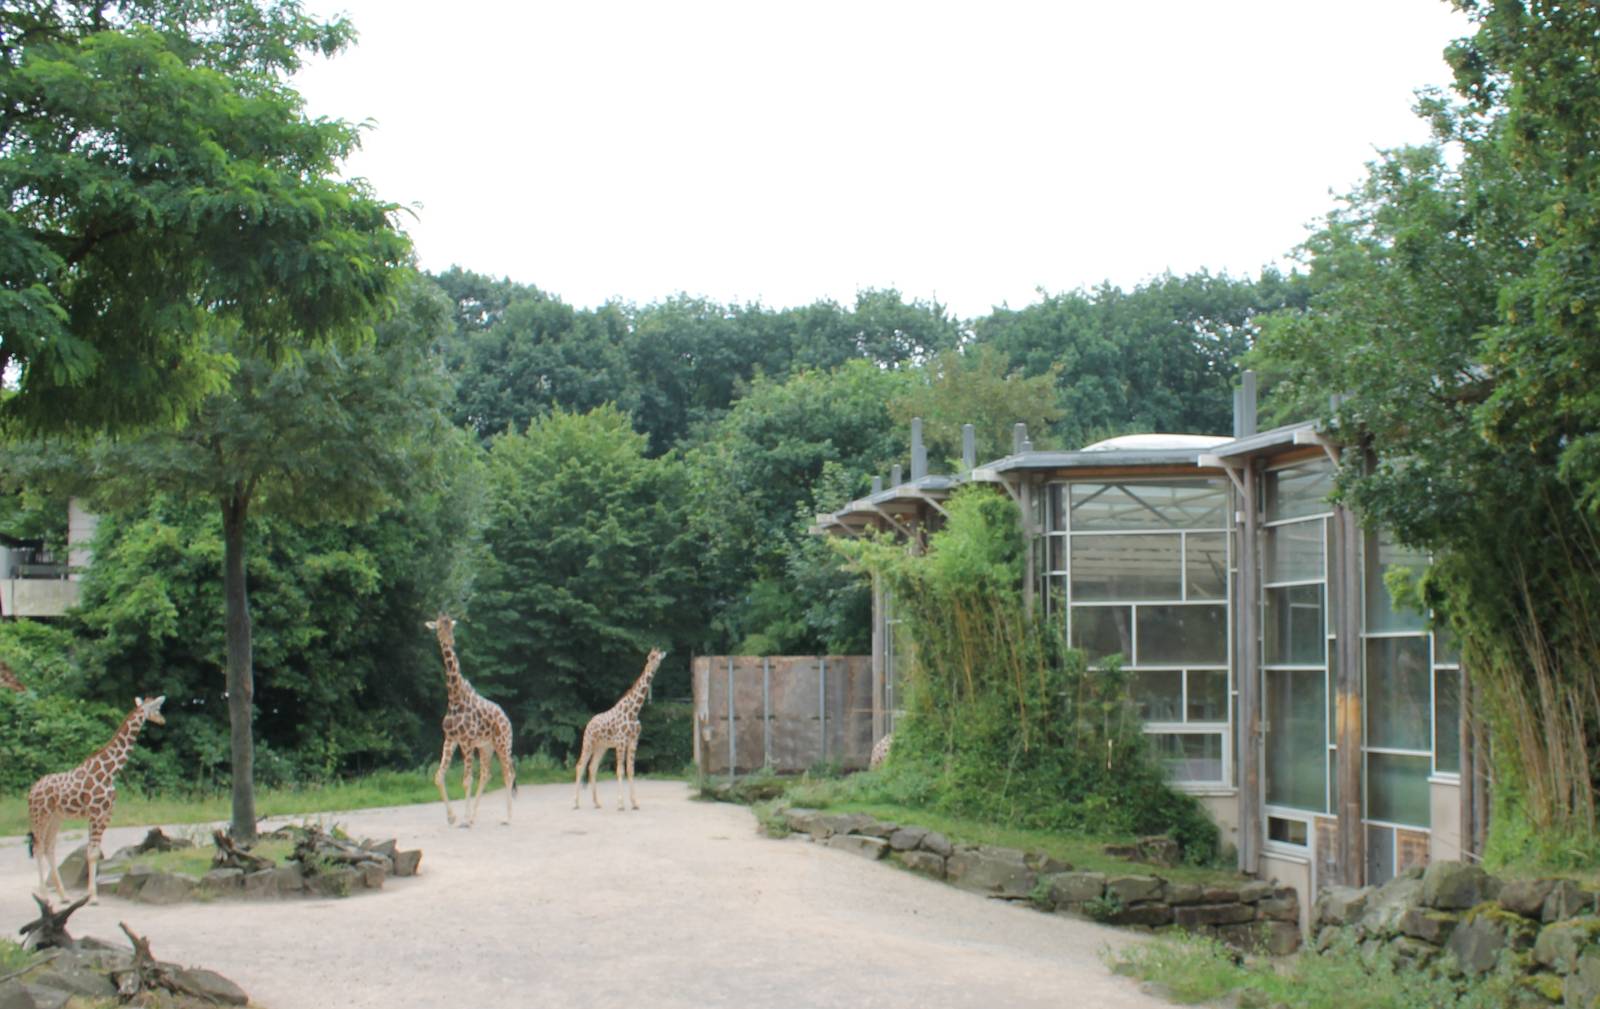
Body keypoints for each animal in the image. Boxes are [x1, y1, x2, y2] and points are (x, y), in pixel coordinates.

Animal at [27, 695, 165, 903]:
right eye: (157, 708)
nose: (163, 720)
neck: (110, 772)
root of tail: (31, 790)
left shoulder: (105, 814)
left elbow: (94, 852)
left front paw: (90, 894)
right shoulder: (96, 813)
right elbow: (92, 854)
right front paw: (92, 897)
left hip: (55, 817)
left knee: (49, 848)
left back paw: (64, 896)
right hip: (40, 816)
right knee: (38, 848)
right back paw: (44, 896)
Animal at [428, 615, 516, 827]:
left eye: (451, 628)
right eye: (439, 628)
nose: (451, 641)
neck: (454, 698)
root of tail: (507, 719)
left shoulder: (466, 742)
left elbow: (466, 780)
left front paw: (465, 819)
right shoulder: (450, 739)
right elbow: (439, 776)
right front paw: (452, 817)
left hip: (503, 744)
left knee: (508, 774)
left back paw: (507, 818)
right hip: (486, 747)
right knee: (486, 774)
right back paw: (475, 816)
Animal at [574, 647, 665, 811]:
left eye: (658, 656)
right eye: (650, 657)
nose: (652, 667)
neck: (634, 711)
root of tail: (589, 723)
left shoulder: (633, 741)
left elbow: (630, 770)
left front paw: (634, 803)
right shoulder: (621, 742)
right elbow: (620, 770)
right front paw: (621, 804)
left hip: (601, 747)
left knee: (592, 767)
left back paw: (597, 803)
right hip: (588, 743)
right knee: (580, 766)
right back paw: (575, 803)